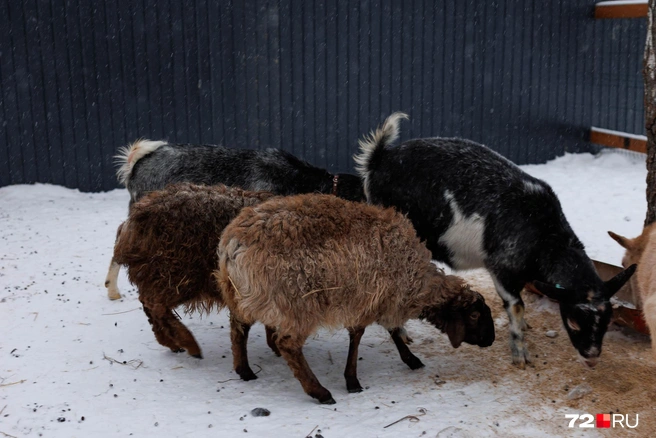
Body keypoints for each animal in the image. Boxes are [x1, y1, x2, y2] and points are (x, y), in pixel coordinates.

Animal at [218, 193, 494, 406]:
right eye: (474, 315)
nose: (490, 340)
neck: (414, 277)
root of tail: (234, 242)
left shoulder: (385, 297)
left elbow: (392, 330)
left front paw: (410, 359)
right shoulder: (371, 298)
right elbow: (360, 335)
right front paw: (352, 381)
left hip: (245, 295)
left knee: (238, 328)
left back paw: (244, 370)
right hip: (297, 303)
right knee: (288, 345)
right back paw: (320, 392)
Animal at [356, 112, 640, 366]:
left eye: (608, 320)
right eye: (572, 320)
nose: (591, 358)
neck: (544, 238)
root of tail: (379, 159)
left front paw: (526, 328)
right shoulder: (501, 267)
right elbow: (516, 306)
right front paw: (521, 357)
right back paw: (403, 332)